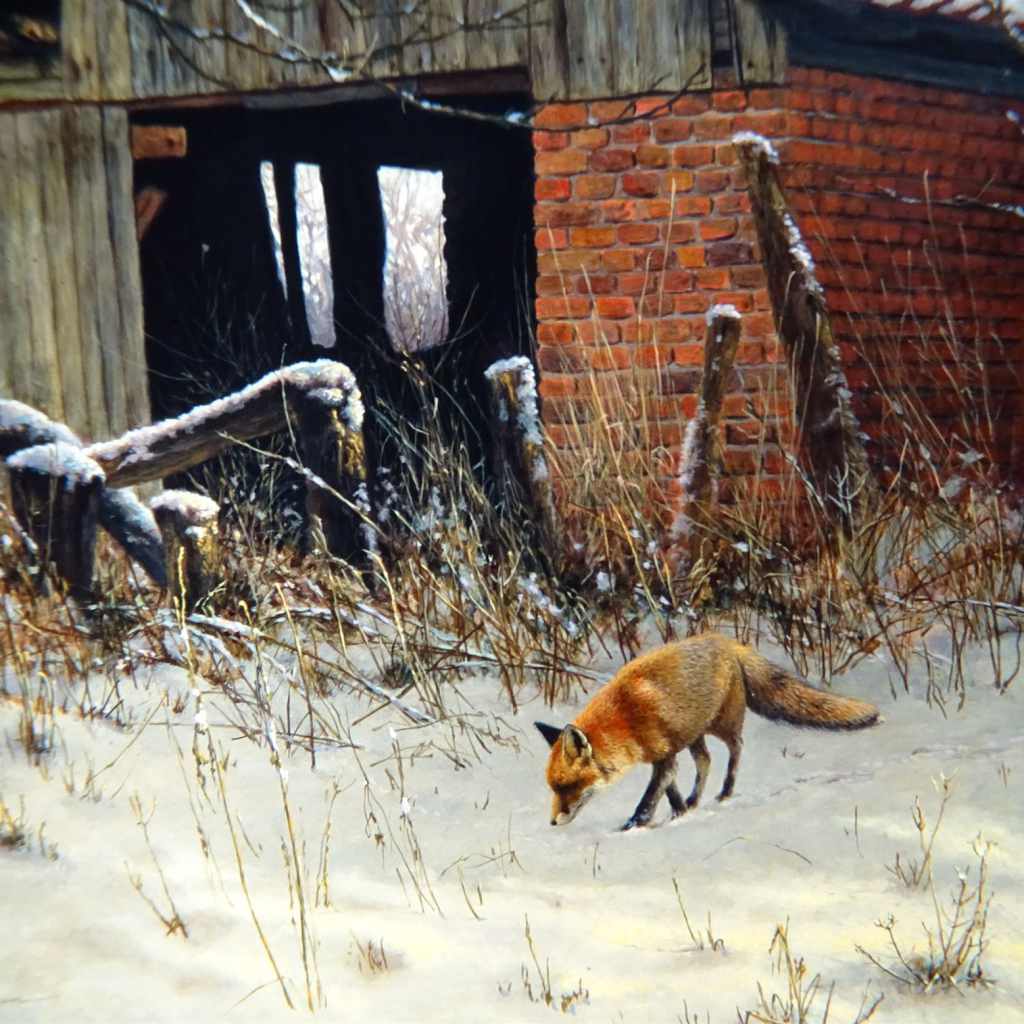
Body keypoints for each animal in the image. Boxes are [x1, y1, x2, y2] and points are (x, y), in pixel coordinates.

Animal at [535, 632, 880, 830]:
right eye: (553, 788)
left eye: (566, 786)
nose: (552, 822)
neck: (626, 718)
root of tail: (726, 640)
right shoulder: (665, 753)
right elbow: (669, 790)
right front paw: (679, 812)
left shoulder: (664, 757)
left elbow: (649, 798)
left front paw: (634, 825)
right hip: (694, 733)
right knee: (705, 760)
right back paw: (695, 800)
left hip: (722, 723)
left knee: (736, 749)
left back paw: (725, 792)